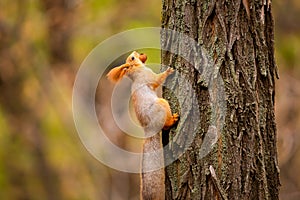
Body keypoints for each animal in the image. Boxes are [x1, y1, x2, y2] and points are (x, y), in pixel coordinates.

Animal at [107, 51, 178, 200]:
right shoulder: (147, 75)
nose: (138, 52)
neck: (135, 71)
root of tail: (148, 130)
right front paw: (168, 71)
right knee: (166, 125)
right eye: (133, 58)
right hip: (161, 104)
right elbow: (157, 79)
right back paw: (173, 119)